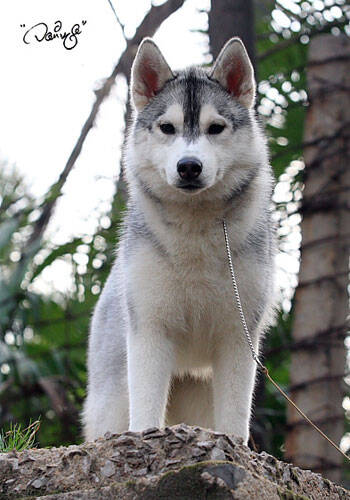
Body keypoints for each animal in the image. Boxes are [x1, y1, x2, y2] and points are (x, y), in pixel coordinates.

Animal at [82, 37, 276, 444]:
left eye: (215, 128)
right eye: (167, 128)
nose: (189, 166)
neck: (195, 229)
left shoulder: (238, 336)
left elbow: (235, 416)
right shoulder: (151, 331)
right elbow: (145, 411)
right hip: (114, 397)